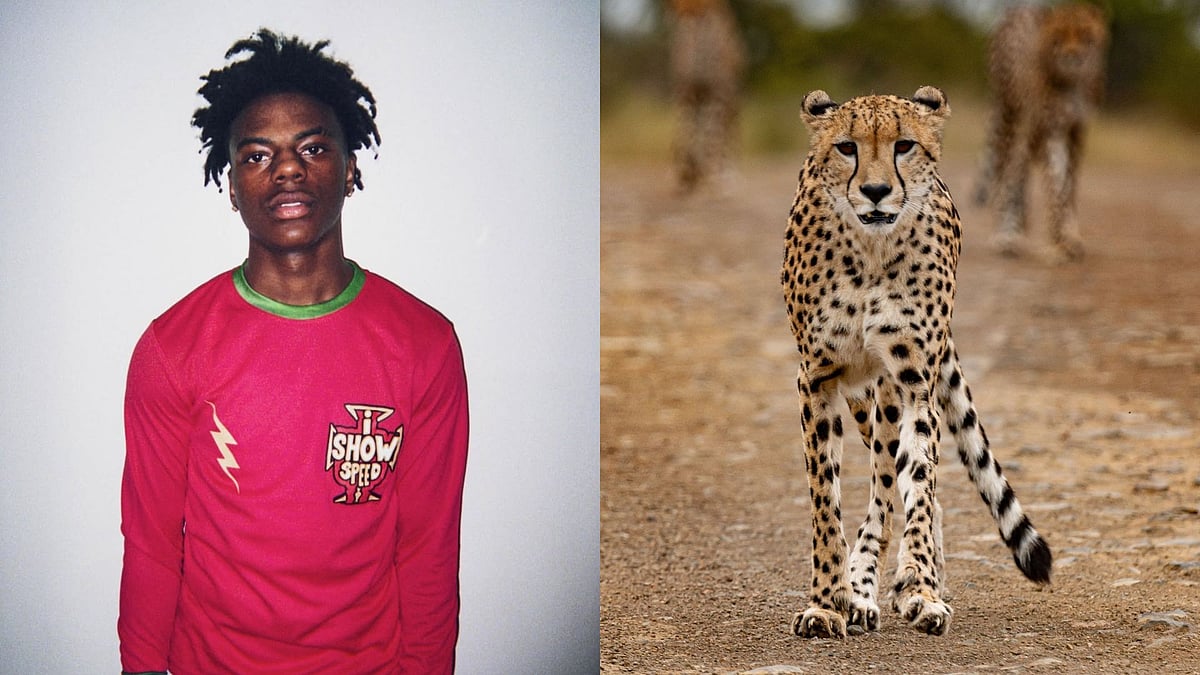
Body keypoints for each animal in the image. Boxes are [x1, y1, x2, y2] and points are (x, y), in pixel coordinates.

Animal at [780, 86, 1052, 639]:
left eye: (904, 145)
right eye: (846, 147)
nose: (877, 191)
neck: (870, 250)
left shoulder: (911, 379)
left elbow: (919, 485)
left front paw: (922, 591)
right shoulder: (817, 378)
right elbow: (824, 501)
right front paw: (825, 602)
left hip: (887, 393)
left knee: (892, 486)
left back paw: (894, 583)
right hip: (861, 398)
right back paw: (860, 592)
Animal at [974, 2, 1109, 261]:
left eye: (1084, 33)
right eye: (1060, 36)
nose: (1073, 57)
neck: (1072, 83)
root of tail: (1018, 8)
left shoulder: (1076, 131)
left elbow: (1069, 186)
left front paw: (1070, 236)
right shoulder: (1050, 129)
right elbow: (1055, 186)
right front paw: (1059, 242)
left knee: (1019, 174)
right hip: (1009, 116)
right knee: (1004, 175)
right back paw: (1005, 235)